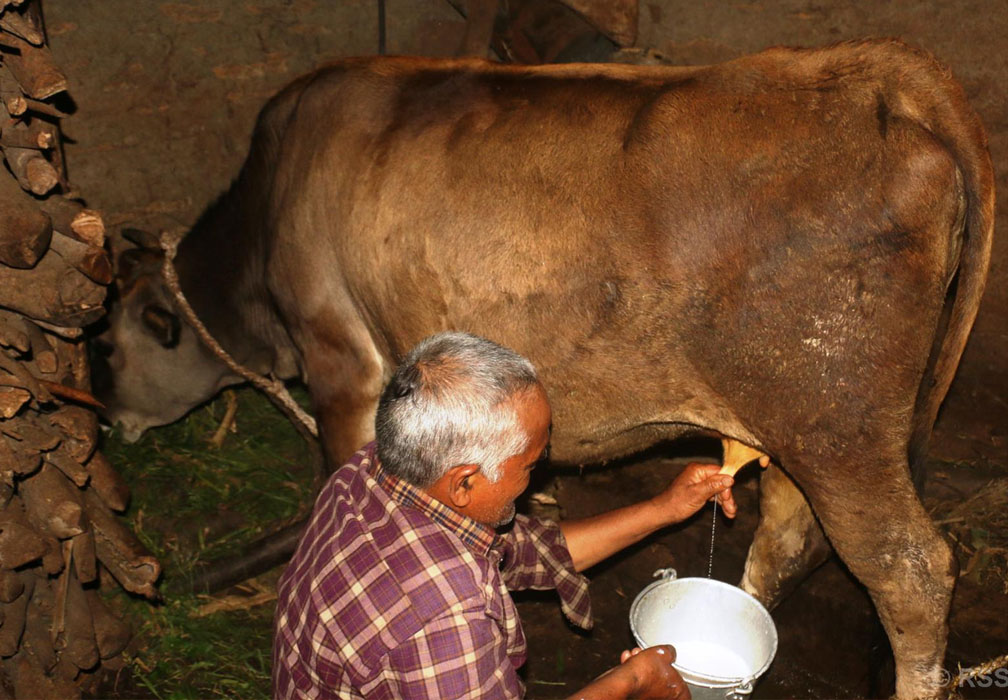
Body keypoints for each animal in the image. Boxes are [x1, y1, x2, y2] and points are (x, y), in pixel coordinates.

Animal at [94, 41, 991, 697]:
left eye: (108, 345)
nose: (108, 421)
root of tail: (881, 68)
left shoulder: (339, 357)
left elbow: (338, 472)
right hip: (799, 427)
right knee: (784, 535)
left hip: (842, 432)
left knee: (911, 573)